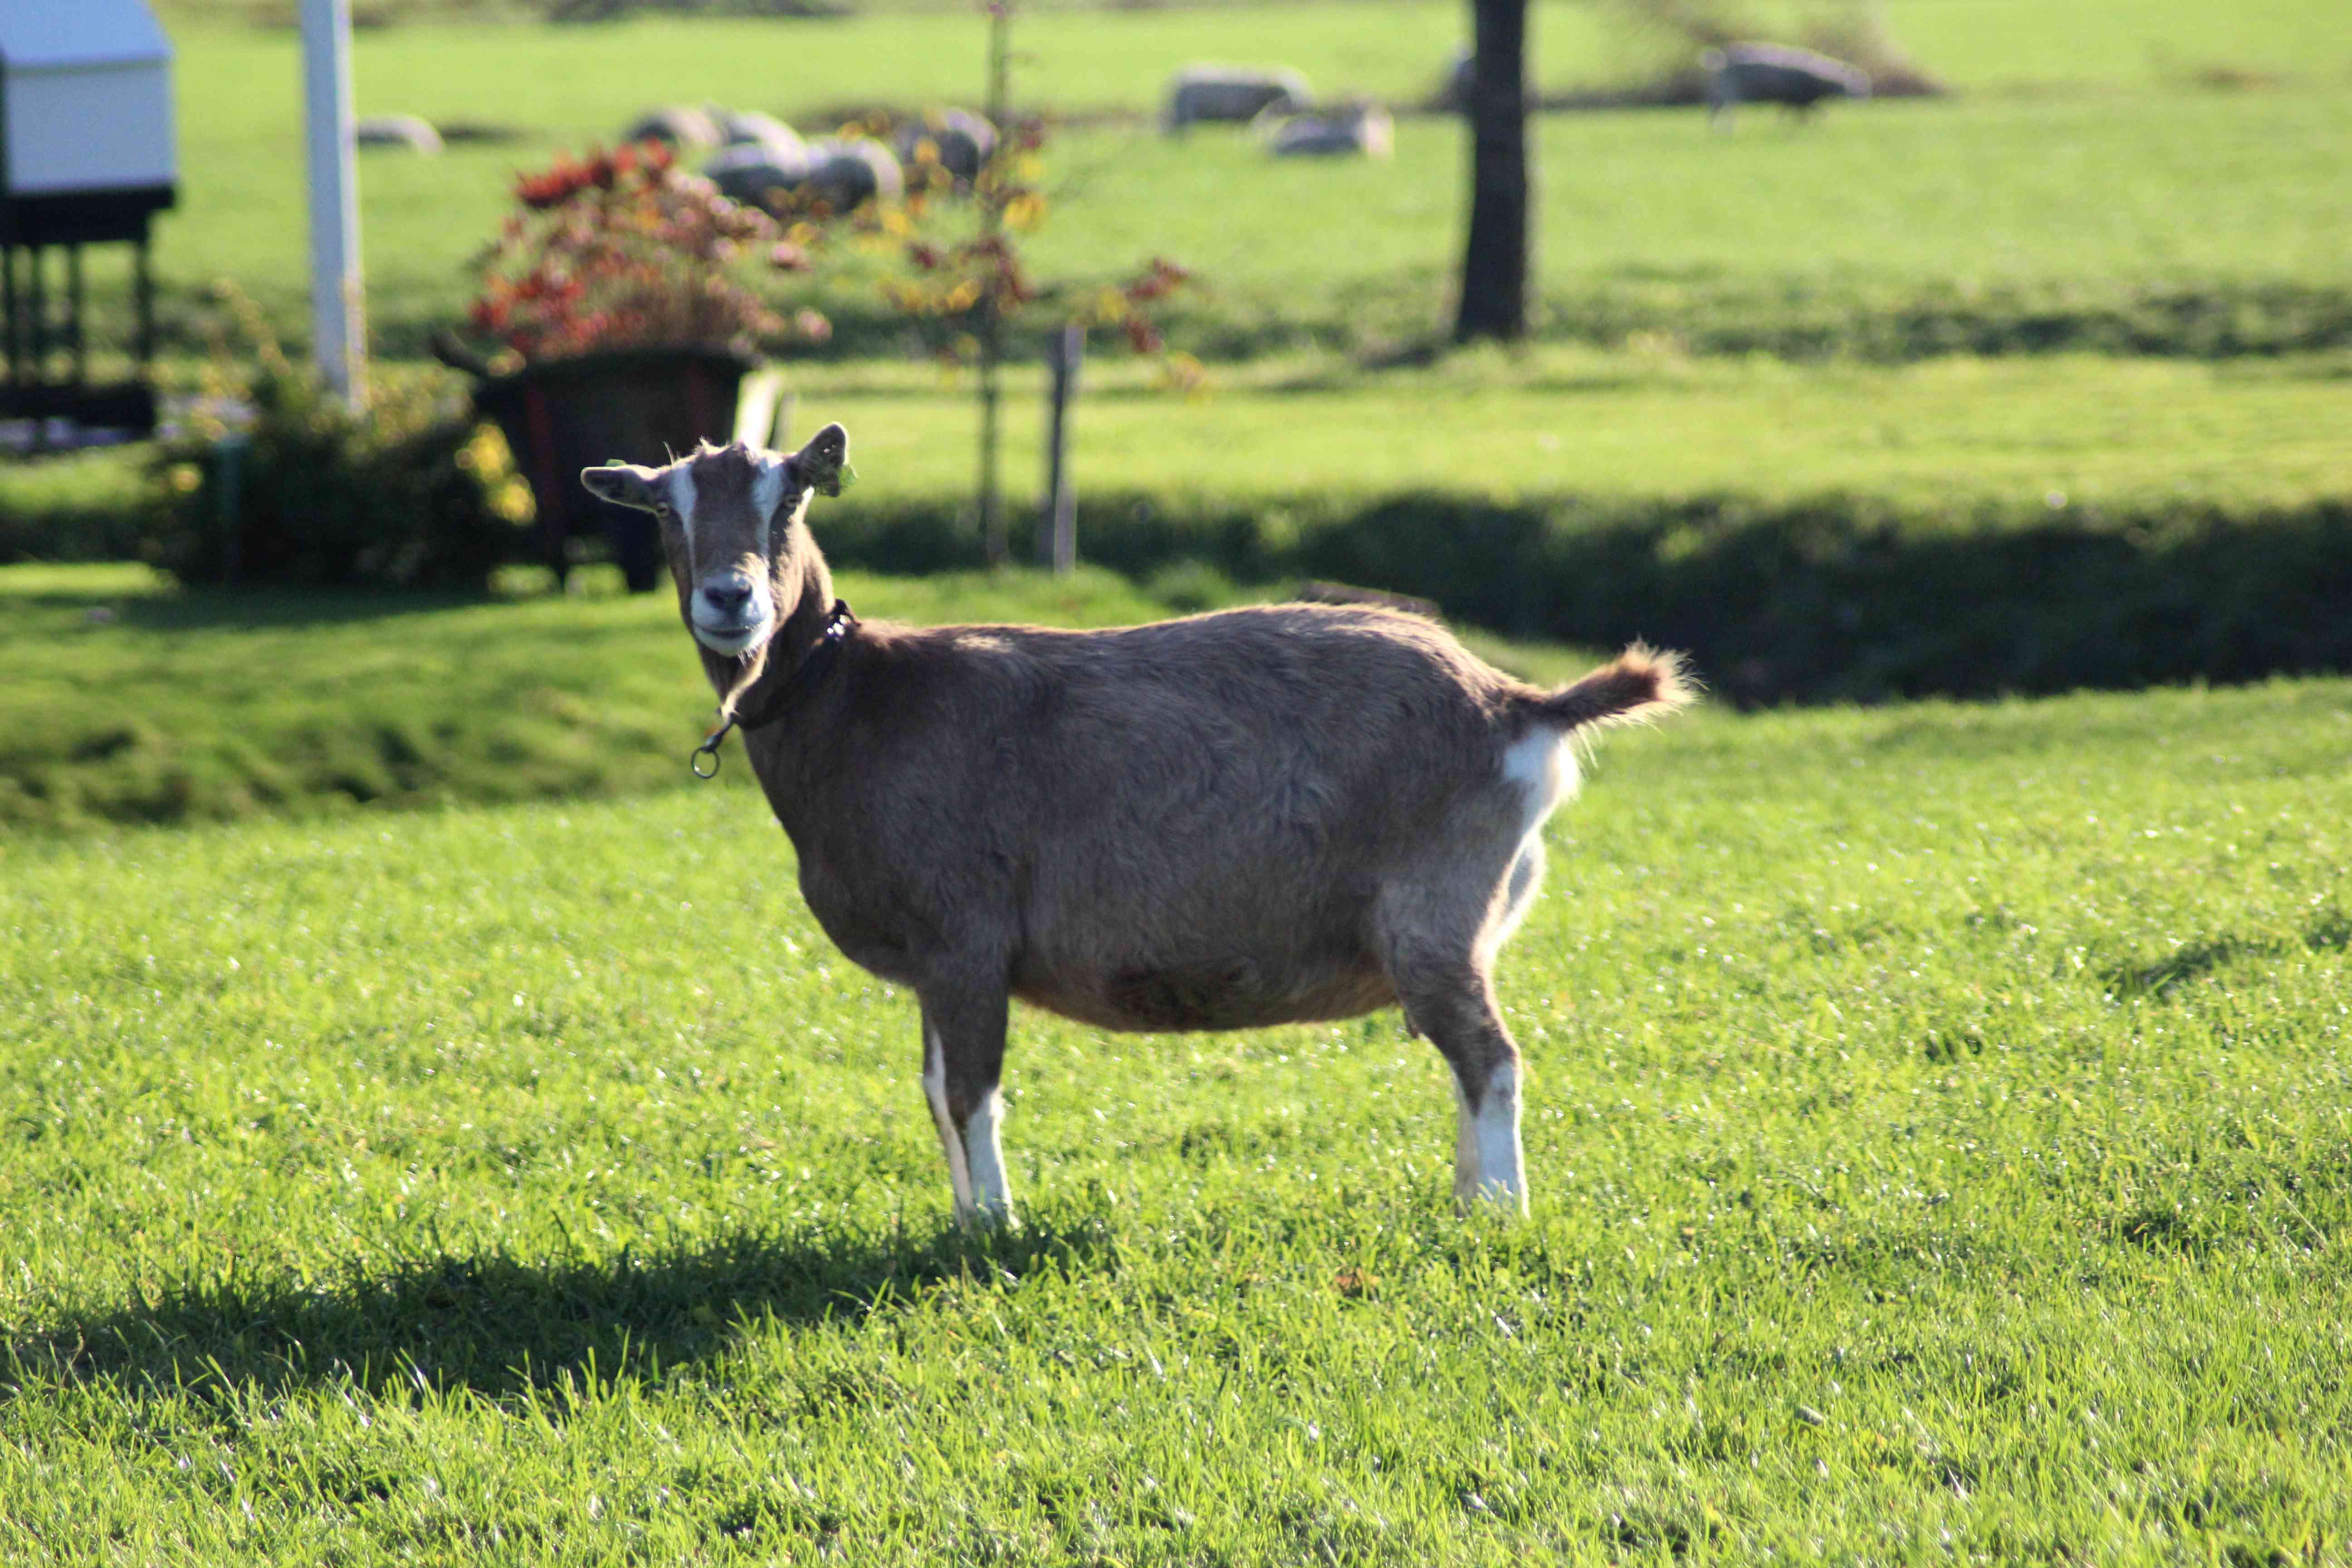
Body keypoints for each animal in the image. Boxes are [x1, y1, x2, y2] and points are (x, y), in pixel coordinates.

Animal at [588, 425, 1693, 1222]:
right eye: (665, 510)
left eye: (789, 498)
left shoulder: (966, 937)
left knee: (1490, 1058)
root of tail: (1516, 704)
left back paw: (1496, 1216)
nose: (731, 599)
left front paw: (995, 1233)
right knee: (1466, 1058)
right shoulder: (932, 963)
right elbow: (935, 1089)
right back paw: (1465, 1200)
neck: (859, 698)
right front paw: (961, 1223)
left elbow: (970, 1092)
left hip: (1435, 909)